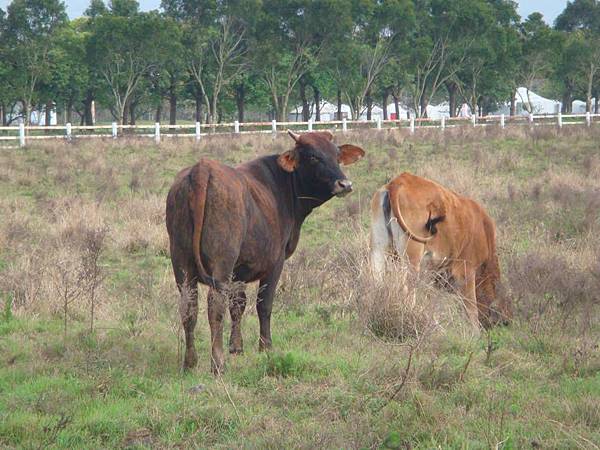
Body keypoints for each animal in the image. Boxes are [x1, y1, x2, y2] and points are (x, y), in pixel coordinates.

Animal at [165, 129, 366, 372]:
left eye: (336, 155)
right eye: (313, 157)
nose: (344, 184)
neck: (282, 187)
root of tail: (202, 168)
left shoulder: (239, 270)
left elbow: (238, 304)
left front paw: (237, 347)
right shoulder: (275, 263)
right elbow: (264, 304)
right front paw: (266, 347)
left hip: (181, 262)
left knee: (189, 307)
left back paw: (190, 361)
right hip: (221, 262)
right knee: (215, 306)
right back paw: (217, 363)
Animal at [370, 172, 510, 330]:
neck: (483, 230)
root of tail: (399, 181)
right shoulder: (466, 271)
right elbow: (471, 308)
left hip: (378, 249)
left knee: (376, 279)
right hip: (412, 258)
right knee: (409, 289)